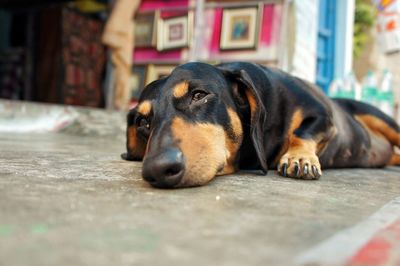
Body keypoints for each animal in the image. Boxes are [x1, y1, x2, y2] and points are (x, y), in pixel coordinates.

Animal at [122, 61, 400, 188]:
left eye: (199, 95)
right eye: (143, 122)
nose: (157, 169)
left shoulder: (322, 115)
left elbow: (301, 131)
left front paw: (300, 159)